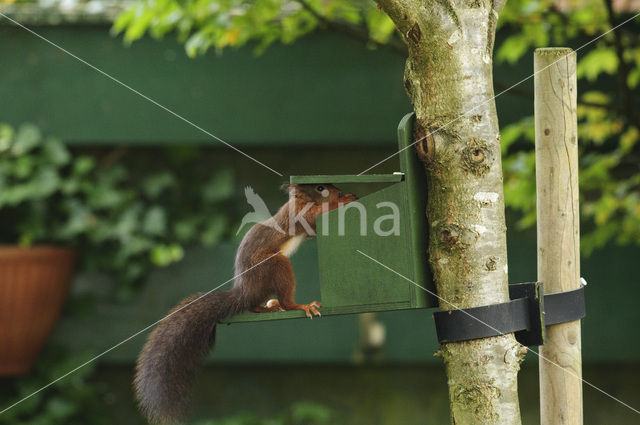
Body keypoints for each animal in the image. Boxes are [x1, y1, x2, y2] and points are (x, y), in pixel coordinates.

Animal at [135, 183, 358, 424]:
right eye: (320, 187)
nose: (339, 192)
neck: (300, 201)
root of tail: (242, 292)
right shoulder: (298, 214)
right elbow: (315, 217)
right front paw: (344, 201)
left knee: (254, 306)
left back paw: (270, 305)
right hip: (275, 264)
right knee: (282, 298)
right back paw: (297, 306)